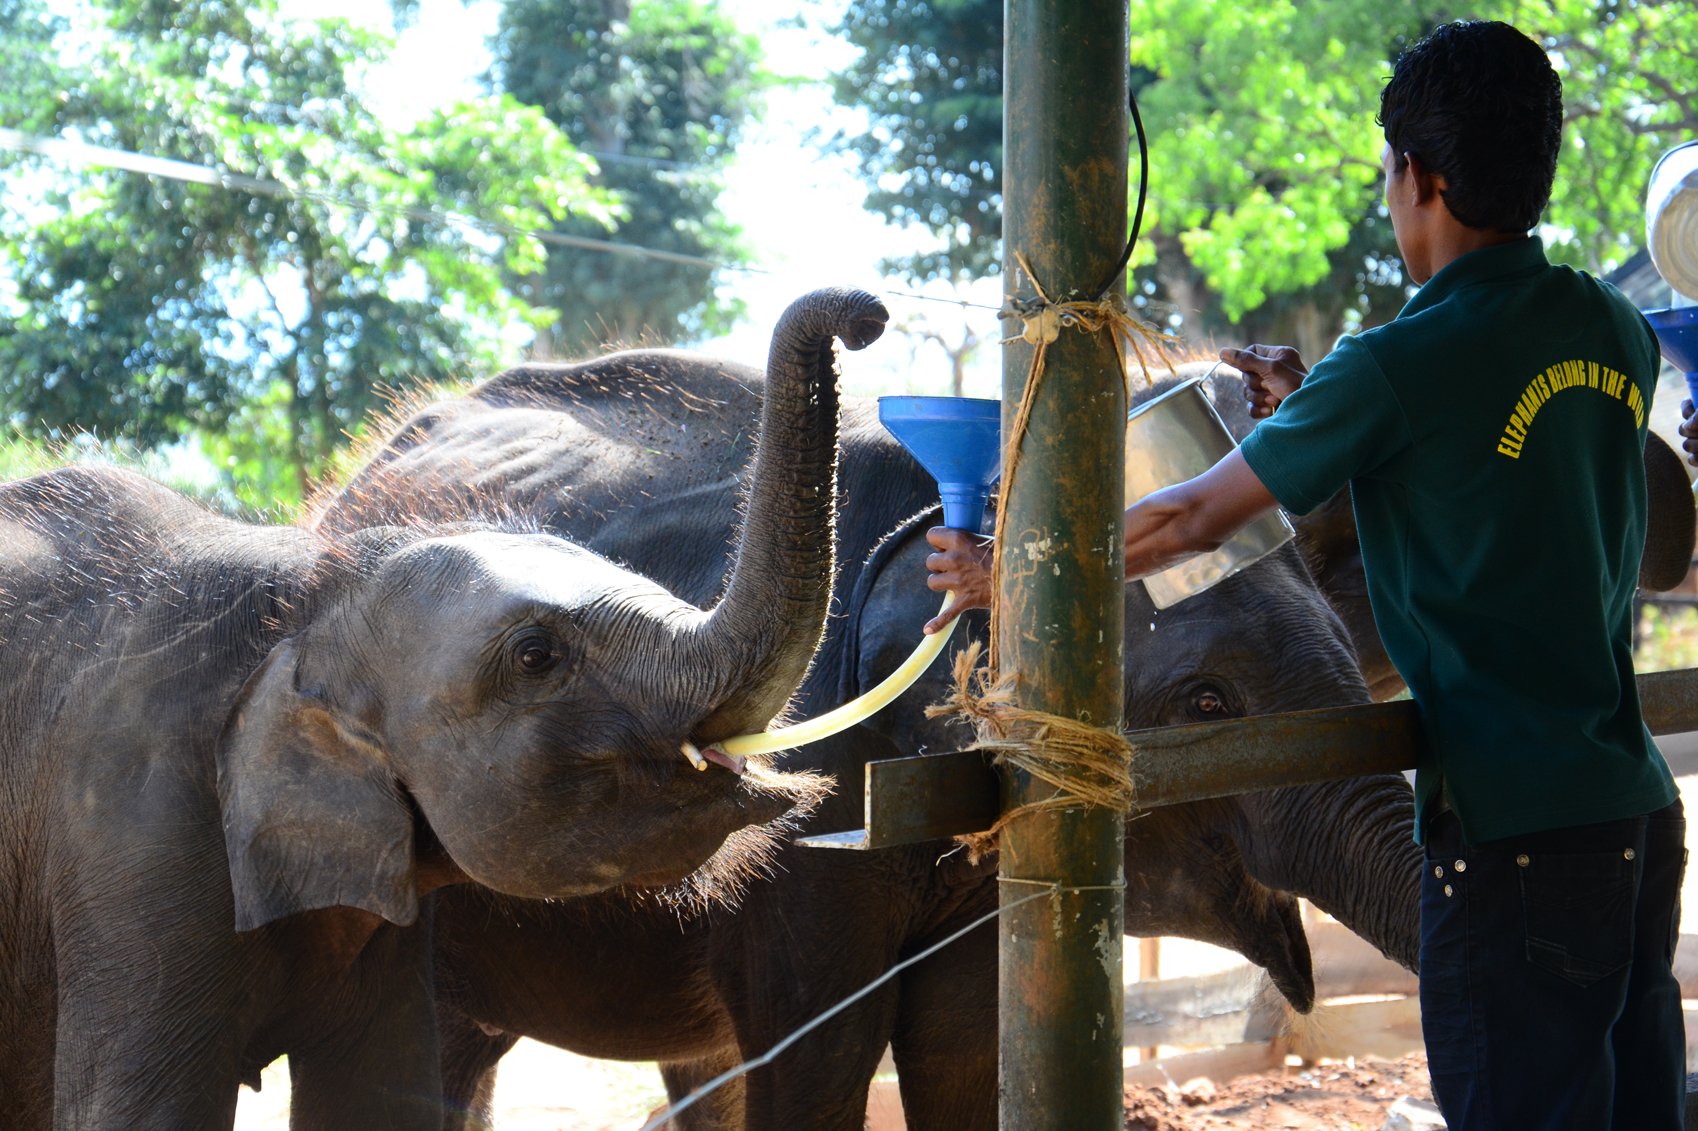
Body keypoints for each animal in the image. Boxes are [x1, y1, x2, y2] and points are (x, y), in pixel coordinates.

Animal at [0, 286, 880, 1130]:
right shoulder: (134, 832)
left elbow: (375, 1103)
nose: (866, 314)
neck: (310, 593)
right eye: (536, 656)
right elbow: (142, 1111)